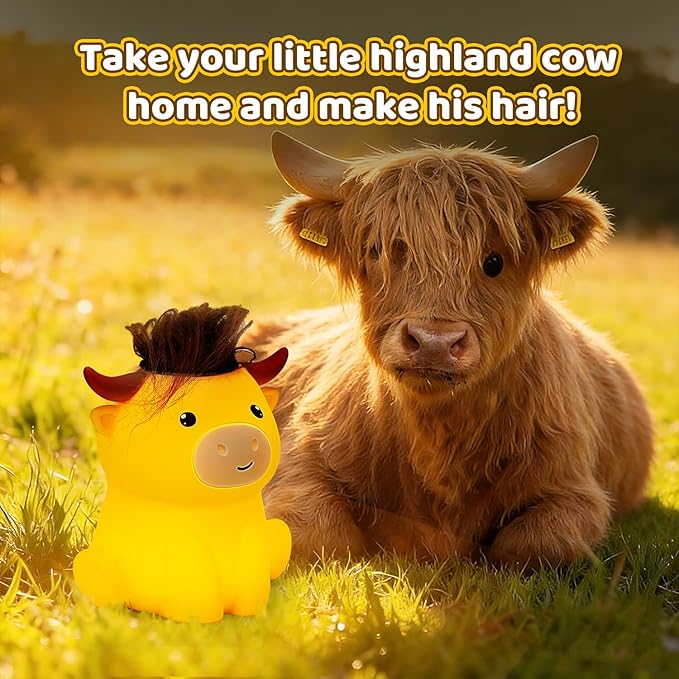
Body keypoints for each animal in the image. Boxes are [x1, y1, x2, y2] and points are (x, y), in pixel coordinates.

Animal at [246, 132, 654, 568]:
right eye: (376, 251)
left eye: (494, 261)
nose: (434, 343)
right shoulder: (302, 467)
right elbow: (318, 537)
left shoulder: (573, 490)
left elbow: (536, 545)